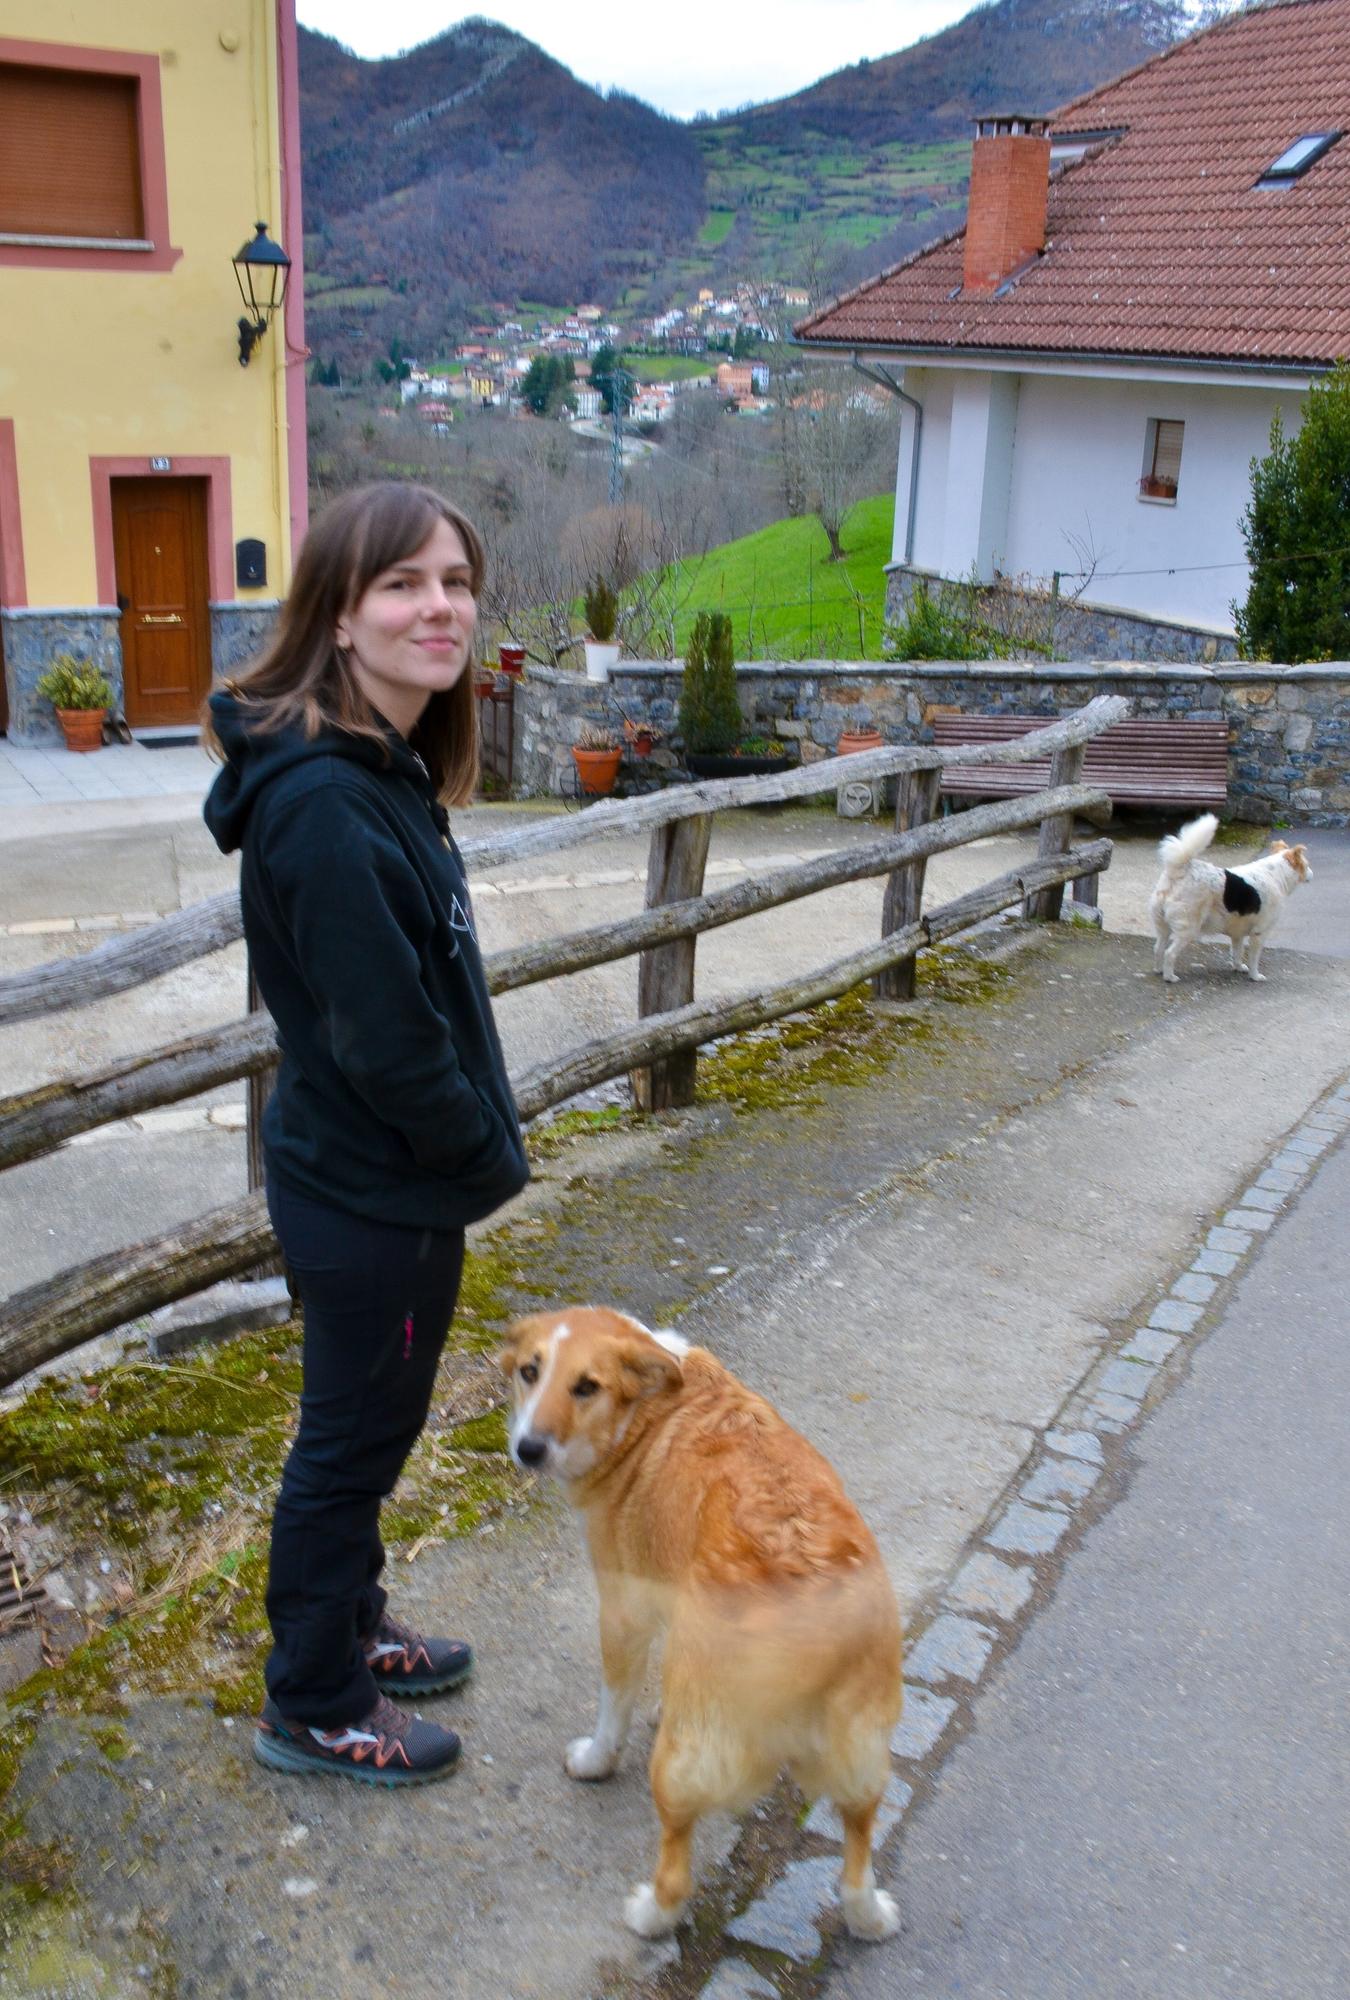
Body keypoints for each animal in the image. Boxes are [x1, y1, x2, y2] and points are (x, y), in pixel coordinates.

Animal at [500, 1312, 908, 1936]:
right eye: (529, 1371)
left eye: (586, 1387)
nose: (528, 1449)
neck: (646, 1412)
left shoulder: (623, 1611)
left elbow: (612, 1708)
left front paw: (595, 1759)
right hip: (863, 1759)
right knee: (856, 1854)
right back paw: (869, 1917)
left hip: (683, 1764)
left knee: (676, 1868)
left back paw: (650, 1914)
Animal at [1152, 812, 1312, 984]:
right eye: (1307, 865)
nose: (1312, 873)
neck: (1275, 875)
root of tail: (1180, 870)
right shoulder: (1259, 933)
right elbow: (1253, 959)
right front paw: (1255, 976)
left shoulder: (1237, 933)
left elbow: (1237, 952)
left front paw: (1239, 967)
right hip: (1188, 929)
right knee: (1169, 953)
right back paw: (1170, 977)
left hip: (1163, 926)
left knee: (1158, 949)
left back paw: (1159, 970)